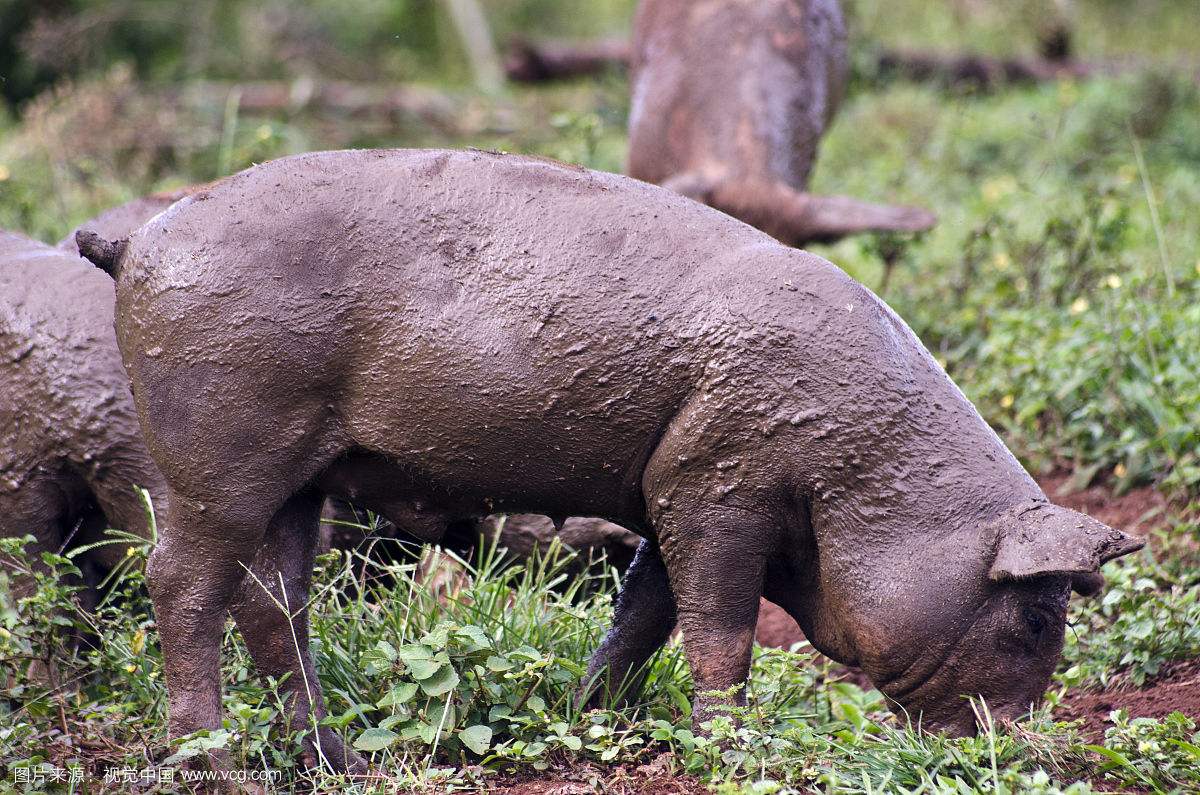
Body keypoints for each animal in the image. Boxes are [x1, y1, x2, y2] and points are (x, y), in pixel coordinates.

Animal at [79, 149, 1137, 773]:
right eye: (1037, 615)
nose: (1027, 752)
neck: (856, 468)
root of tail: (139, 236)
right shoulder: (718, 484)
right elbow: (720, 627)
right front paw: (727, 751)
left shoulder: (670, 486)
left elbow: (645, 613)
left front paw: (600, 723)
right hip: (217, 453)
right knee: (182, 581)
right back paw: (209, 761)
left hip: (299, 478)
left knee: (274, 600)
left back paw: (334, 759)